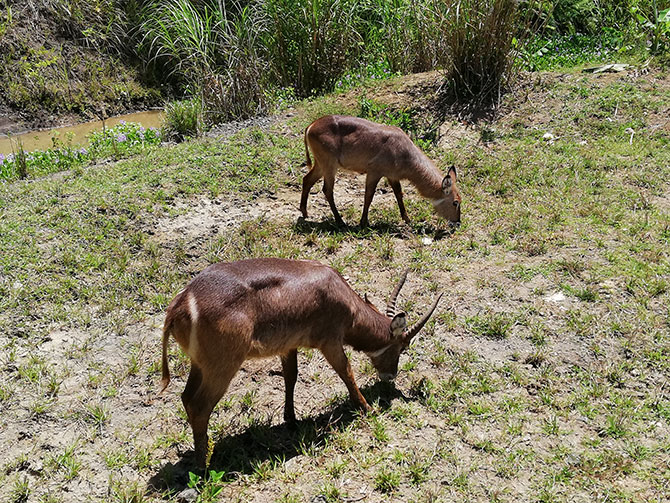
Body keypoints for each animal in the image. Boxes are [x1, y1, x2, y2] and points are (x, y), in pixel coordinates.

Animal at [161, 260, 444, 468]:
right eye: (403, 347)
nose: (390, 376)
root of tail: (180, 305)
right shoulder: (330, 342)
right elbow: (346, 371)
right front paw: (366, 408)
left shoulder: (289, 346)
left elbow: (291, 376)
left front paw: (291, 419)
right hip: (222, 366)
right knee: (199, 405)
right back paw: (203, 468)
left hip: (200, 365)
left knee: (186, 398)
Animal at [300, 115, 462, 227]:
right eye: (455, 202)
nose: (457, 223)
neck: (405, 152)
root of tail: (311, 126)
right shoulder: (374, 172)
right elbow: (369, 196)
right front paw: (364, 222)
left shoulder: (392, 176)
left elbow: (399, 194)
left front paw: (407, 219)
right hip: (329, 166)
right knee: (327, 190)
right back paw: (340, 221)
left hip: (321, 165)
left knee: (307, 180)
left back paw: (304, 213)